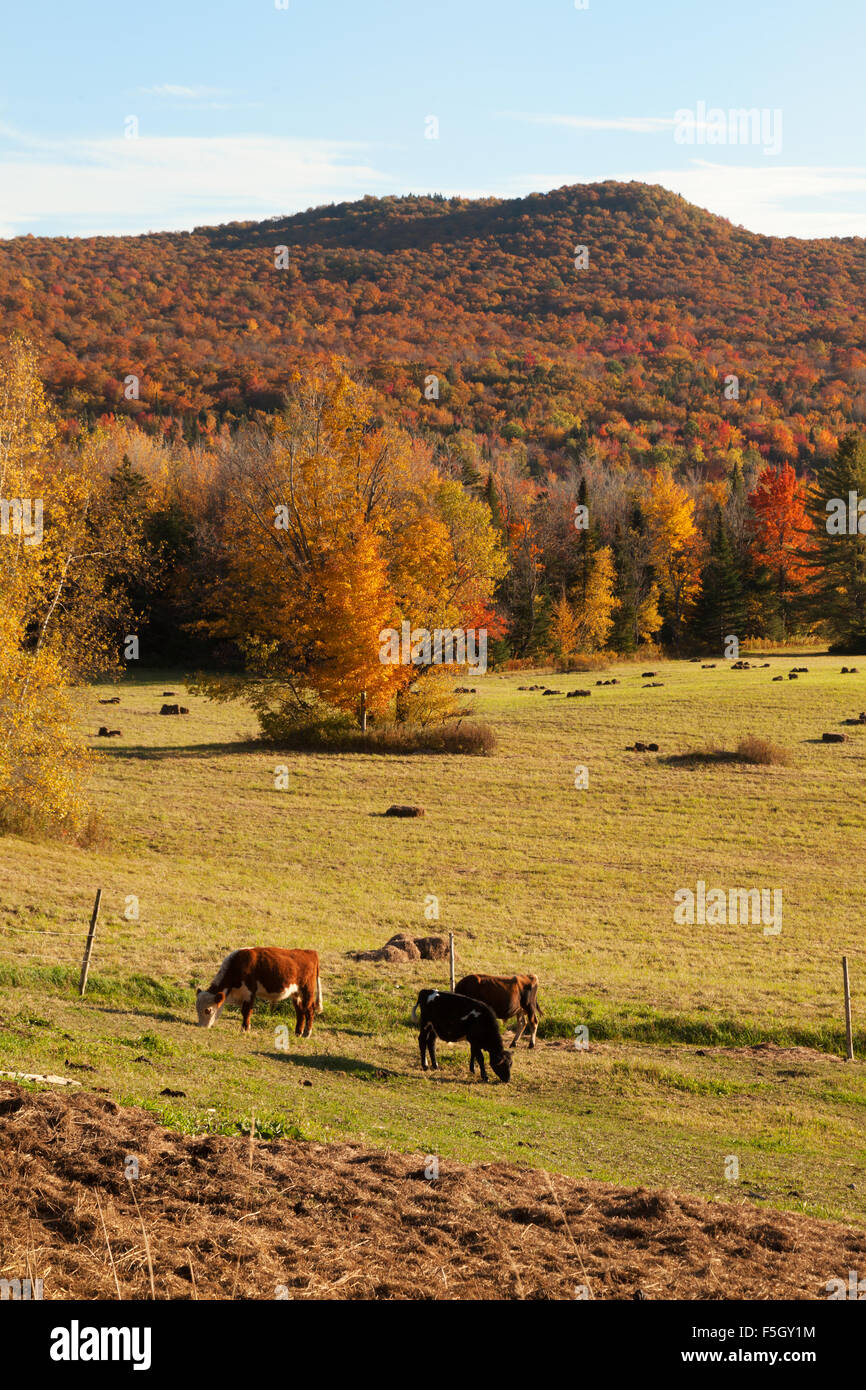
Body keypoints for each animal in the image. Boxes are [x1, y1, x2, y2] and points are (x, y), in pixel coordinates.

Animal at [193, 945, 322, 1034]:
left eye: (208, 1010)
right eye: (197, 1008)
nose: (201, 1026)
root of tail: (310, 952)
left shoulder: (250, 992)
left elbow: (246, 1011)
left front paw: (245, 1029)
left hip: (307, 991)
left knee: (309, 1010)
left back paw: (306, 1033)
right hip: (296, 994)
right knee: (300, 1012)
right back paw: (298, 1032)